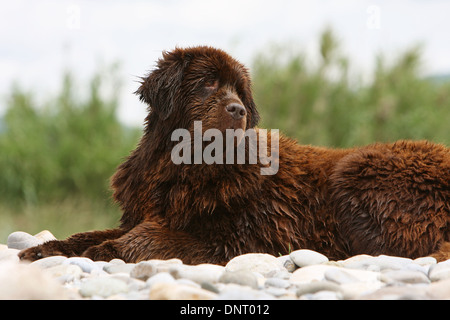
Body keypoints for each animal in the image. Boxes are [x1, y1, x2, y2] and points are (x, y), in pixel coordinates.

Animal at [19, 45, 450, 264]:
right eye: (208, 84)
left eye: (240, 92)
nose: (238, 109)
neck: (180, 168)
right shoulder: (144, 212)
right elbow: (90, 233)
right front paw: (46, 248)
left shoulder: (238, 238)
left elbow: (146, 238)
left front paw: (105, 252)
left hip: (357, 171)